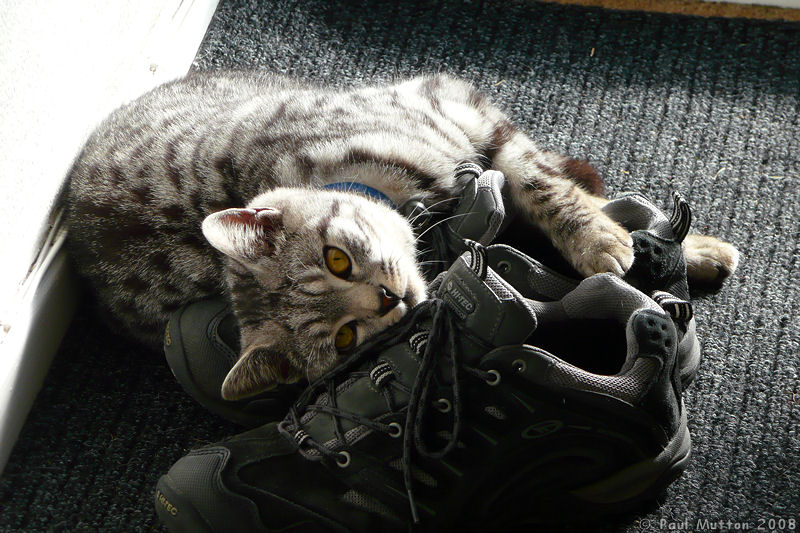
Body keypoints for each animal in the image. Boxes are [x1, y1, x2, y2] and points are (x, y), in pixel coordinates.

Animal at [62, 71, 736, 400]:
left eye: (337, 259)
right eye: (345, 337)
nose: (390, 299)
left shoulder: (458, 108)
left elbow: (547, 184)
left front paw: (615, 240)